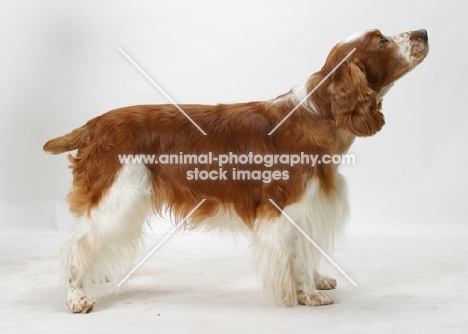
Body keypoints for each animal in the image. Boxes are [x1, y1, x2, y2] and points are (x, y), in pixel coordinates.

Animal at [43, 28, 428, 314]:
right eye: (382, 41)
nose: (423, 32)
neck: (319, 114)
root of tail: (94, 124)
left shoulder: (311, 206)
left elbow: (308, 251)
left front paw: (318, 280)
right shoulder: (289, 208)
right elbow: (298, 256)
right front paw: (308, 293)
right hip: (116, 196)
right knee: (77, 245)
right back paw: (77, 297)